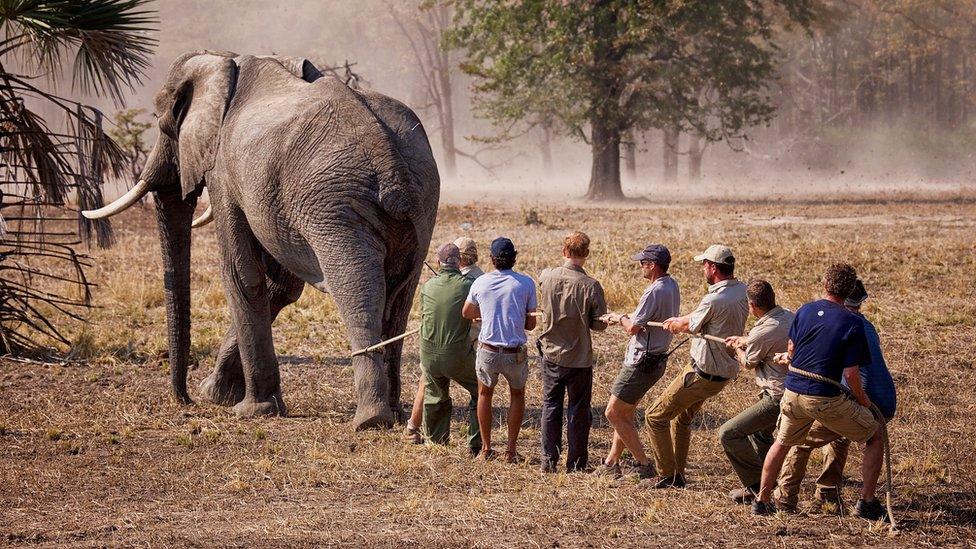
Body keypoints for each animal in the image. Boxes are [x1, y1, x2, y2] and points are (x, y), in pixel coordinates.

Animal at [84, 50, 442, 428]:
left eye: (164, 123)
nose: (185, 400)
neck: (226, 62)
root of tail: (389, 158)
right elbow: (280, 285)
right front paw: (216, 394)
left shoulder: (224, 171)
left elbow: (241, 274)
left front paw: (250, 409)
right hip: (421, 202)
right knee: (400, 294)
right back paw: (395, 411)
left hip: (336, 207)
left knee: (357, 288)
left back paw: (370, 420)